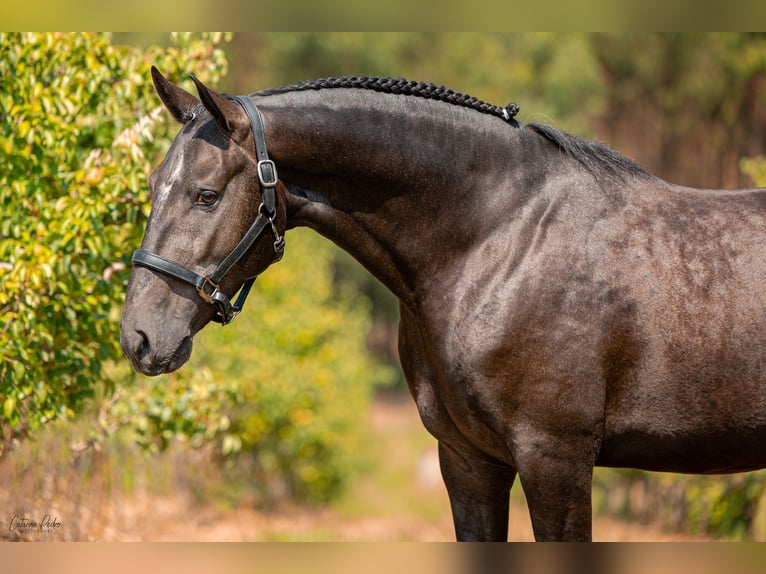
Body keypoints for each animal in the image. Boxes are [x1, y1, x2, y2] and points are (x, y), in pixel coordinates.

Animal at [118, 68, 766, 544]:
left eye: (205, 196)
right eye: (151, 186)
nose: (138, 338)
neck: (498, 239)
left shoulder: (556, 460)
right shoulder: (467, 461)